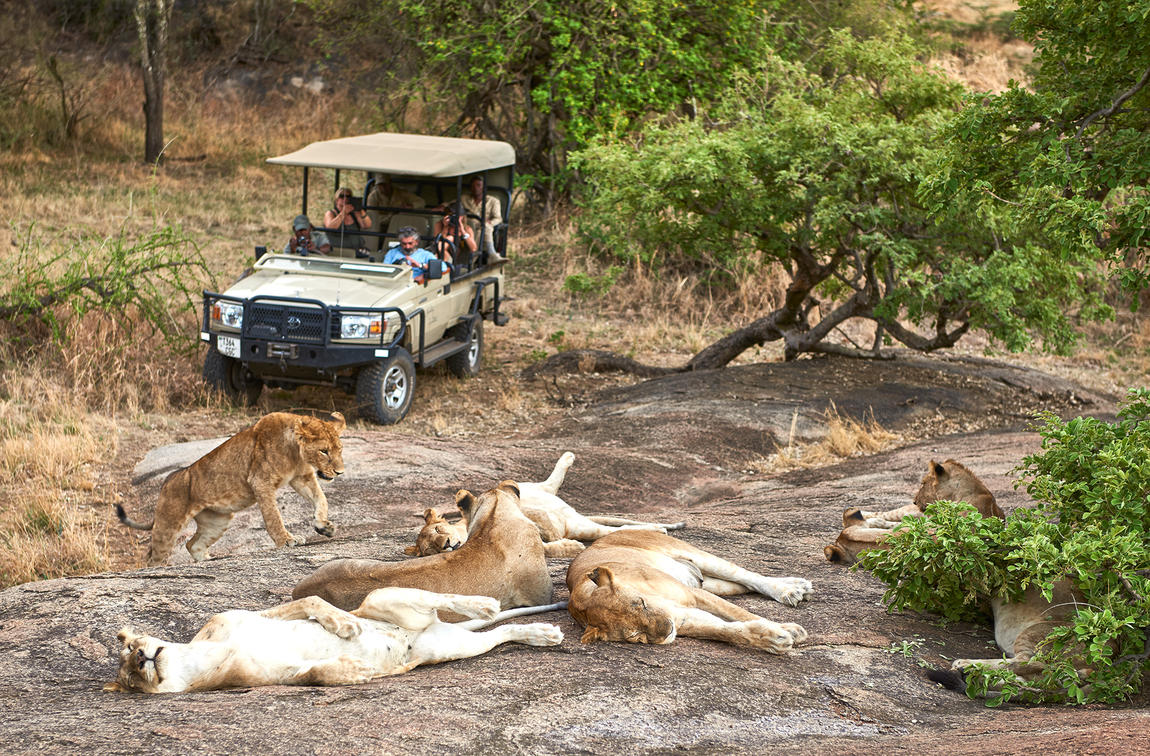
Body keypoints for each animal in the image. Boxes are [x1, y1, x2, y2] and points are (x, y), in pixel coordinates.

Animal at [115, 409, 345, 563]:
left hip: (217, 521)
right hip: (168, 524)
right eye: (324, 451)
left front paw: (324, 526)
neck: (295, 452)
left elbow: (321, 499)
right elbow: (273, 517)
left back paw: (206, 560)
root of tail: (168, 481)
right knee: (153, 557)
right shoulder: (260, 482)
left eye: (340, 449)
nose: (340, 472)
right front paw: (286, 540)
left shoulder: (302, 478)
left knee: (191, 544)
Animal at [407, 451, 680, 556]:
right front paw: (569, 546)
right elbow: (550, 546)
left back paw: (568, 457)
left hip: (535, 488)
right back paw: (658, 529)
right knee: (613, 530)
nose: (446, 545)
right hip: (583, 526)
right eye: (431, 550)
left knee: (549, 483)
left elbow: (535, 515)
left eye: (439, 529)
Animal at [565, 527, 809, 653]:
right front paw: (774, 639)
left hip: (693, 555)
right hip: (712, 584)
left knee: (746, 575)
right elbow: (727, 631)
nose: (666, 630)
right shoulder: (684, 617)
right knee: (743, 585)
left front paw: (788, 630)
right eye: (635, 636)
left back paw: (791, 590)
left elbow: (741, 614)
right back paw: (797, 586)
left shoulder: (693, 595)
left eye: (641, 603)